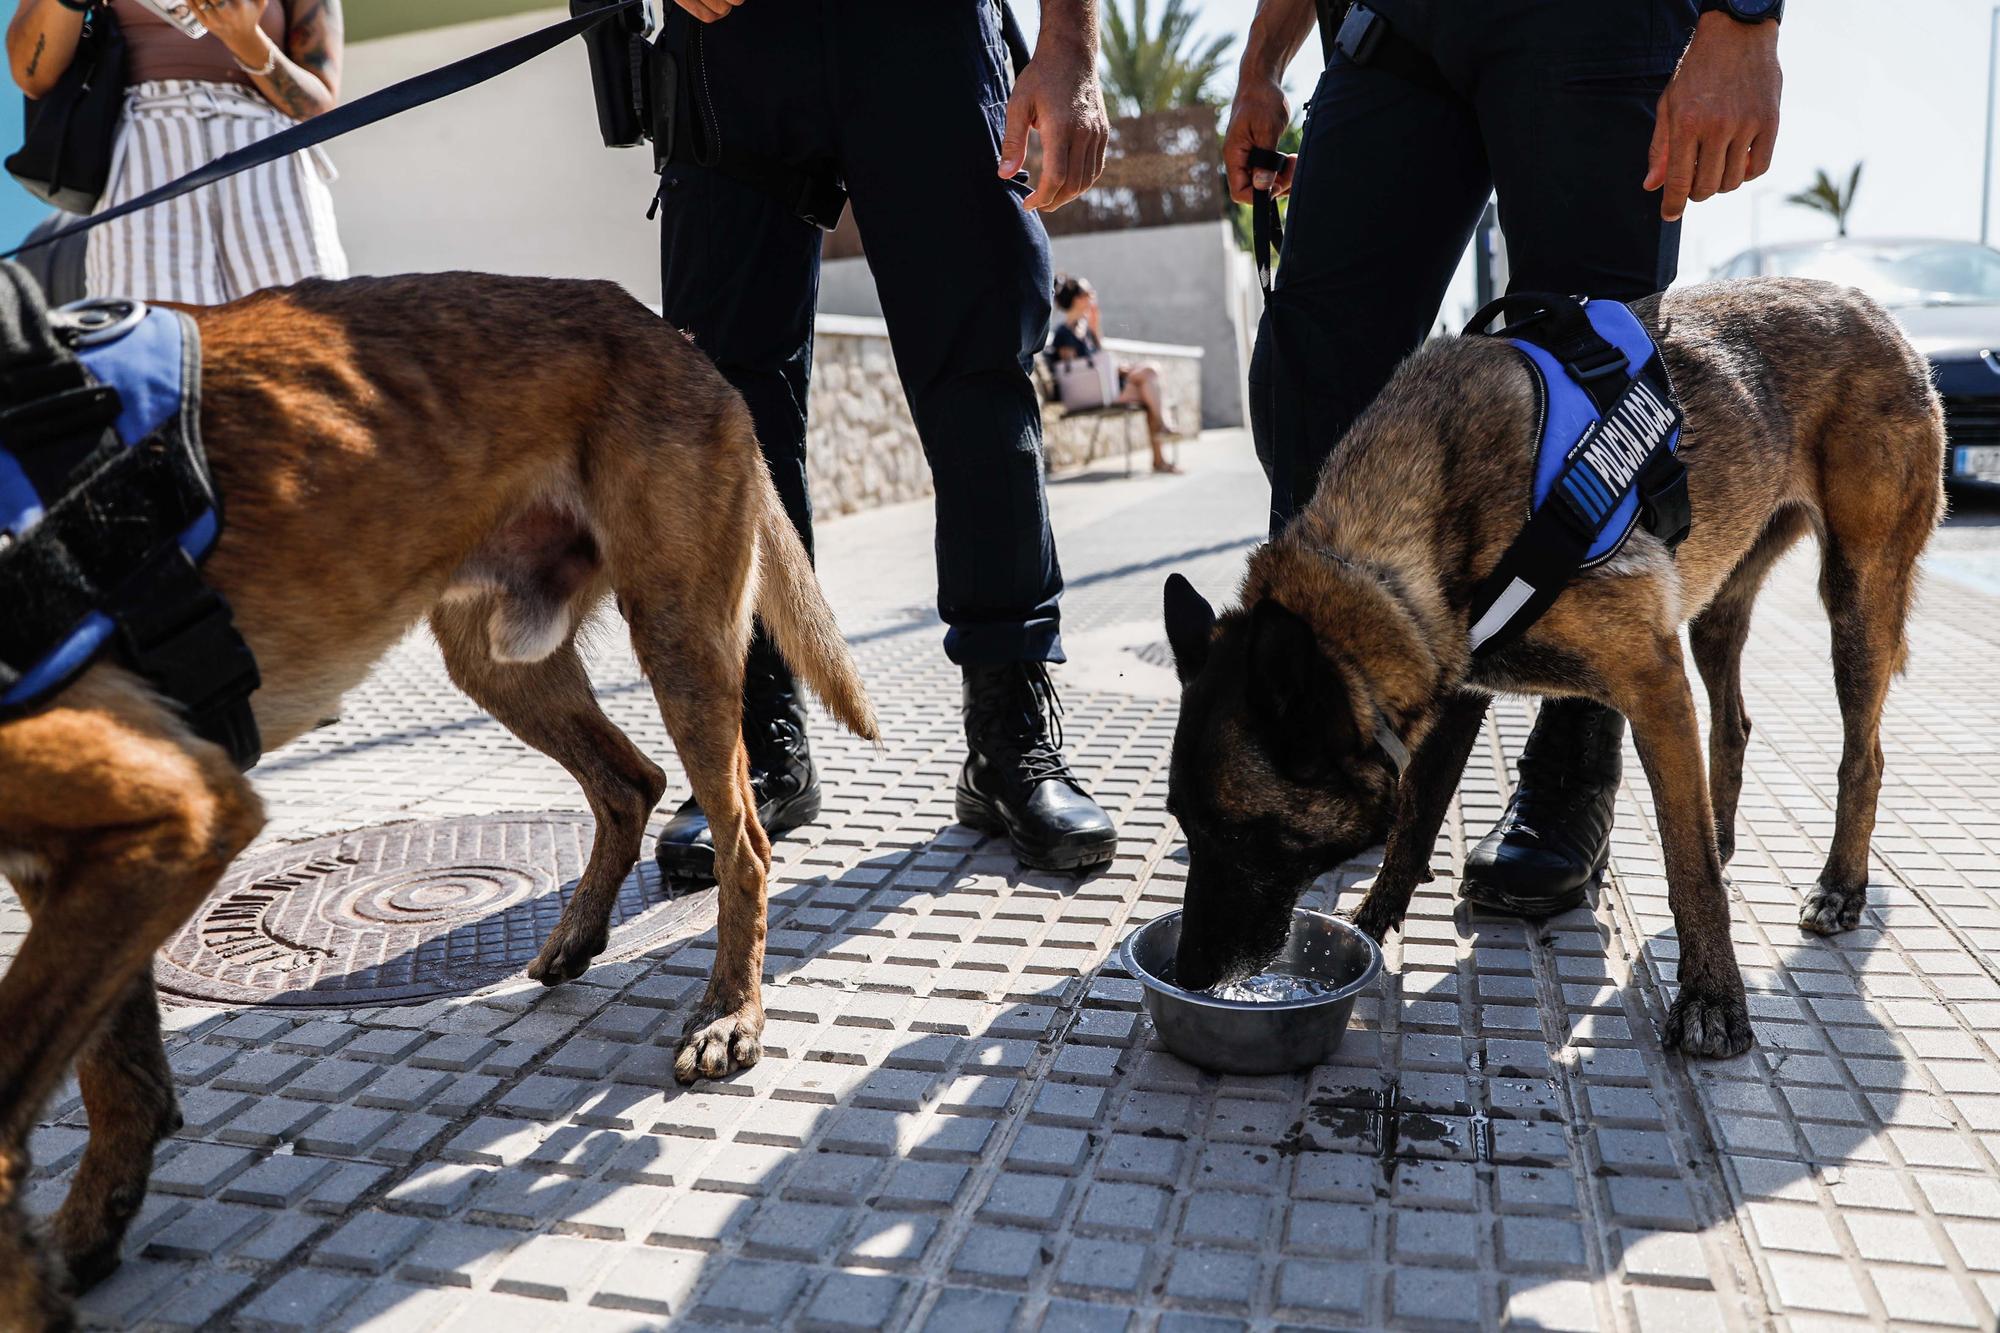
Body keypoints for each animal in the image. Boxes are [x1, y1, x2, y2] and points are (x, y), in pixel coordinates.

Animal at [0, 268, 876, 1320]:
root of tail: (666, 331)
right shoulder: (93, 851)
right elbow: (112, 1068)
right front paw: (86, 1229)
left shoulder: (172, 811)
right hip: (496, 655)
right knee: (630, 781)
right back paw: (579, 935)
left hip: (674, 629)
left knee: (742, 836)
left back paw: (729, 1012)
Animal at [1168, 278, 1944, 1056]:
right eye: (1182, 823)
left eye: (1242, 834)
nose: (1190, 973)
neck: (1396, 548)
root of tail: (1867, 306)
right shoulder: (1456, 688)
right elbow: (1416, 816)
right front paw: (1368, 925)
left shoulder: (1653, 684)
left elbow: (1686, 868)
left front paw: (1713, 997)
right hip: (1717, 613)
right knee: (1734, 725)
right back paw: (1725, 831)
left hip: (1856, 600)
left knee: (1864, 757)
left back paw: (1840, 886)